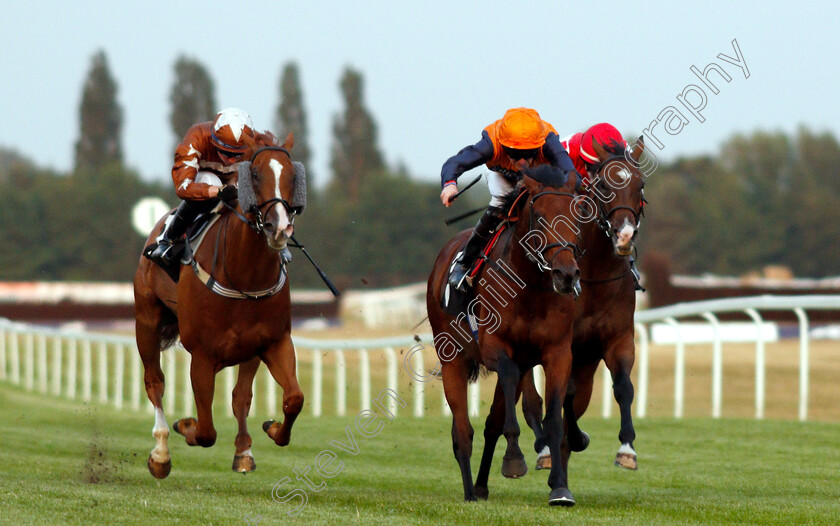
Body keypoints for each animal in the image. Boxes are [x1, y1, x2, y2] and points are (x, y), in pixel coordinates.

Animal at [130, 131, 304, 478]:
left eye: (293, 175)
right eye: (255, 174)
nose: (279, 228)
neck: (244, 276)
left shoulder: (273, 342)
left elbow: (292, 398)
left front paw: (270, 431)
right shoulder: (202, 354)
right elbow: (206, 431)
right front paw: (185, 425)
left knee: (241, 397)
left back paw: (243, 450)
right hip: (147, 322)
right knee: (155, 383)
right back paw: (161, 453)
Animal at [426, 169, 584, 508]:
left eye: (577, 214)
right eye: (540, 216)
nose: (566, 274)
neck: (531, 287)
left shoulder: (558, 353)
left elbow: (552, 416)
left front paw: (559, 487)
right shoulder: (494, 347)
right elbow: (510, 386)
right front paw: (514, 458)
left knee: (490, 425)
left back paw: (481, 486)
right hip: (452, 360)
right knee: (463, 431)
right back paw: (470, 492)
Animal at [476, 139, 648, 496]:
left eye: (640, 185)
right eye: (604, 187)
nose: (624, 236)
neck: (596, 274)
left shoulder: (617, 339)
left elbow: (622, 387)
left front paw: (626, 449)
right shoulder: (561, 343)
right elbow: (549, 399)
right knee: (531, 398)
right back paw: (542, 451)